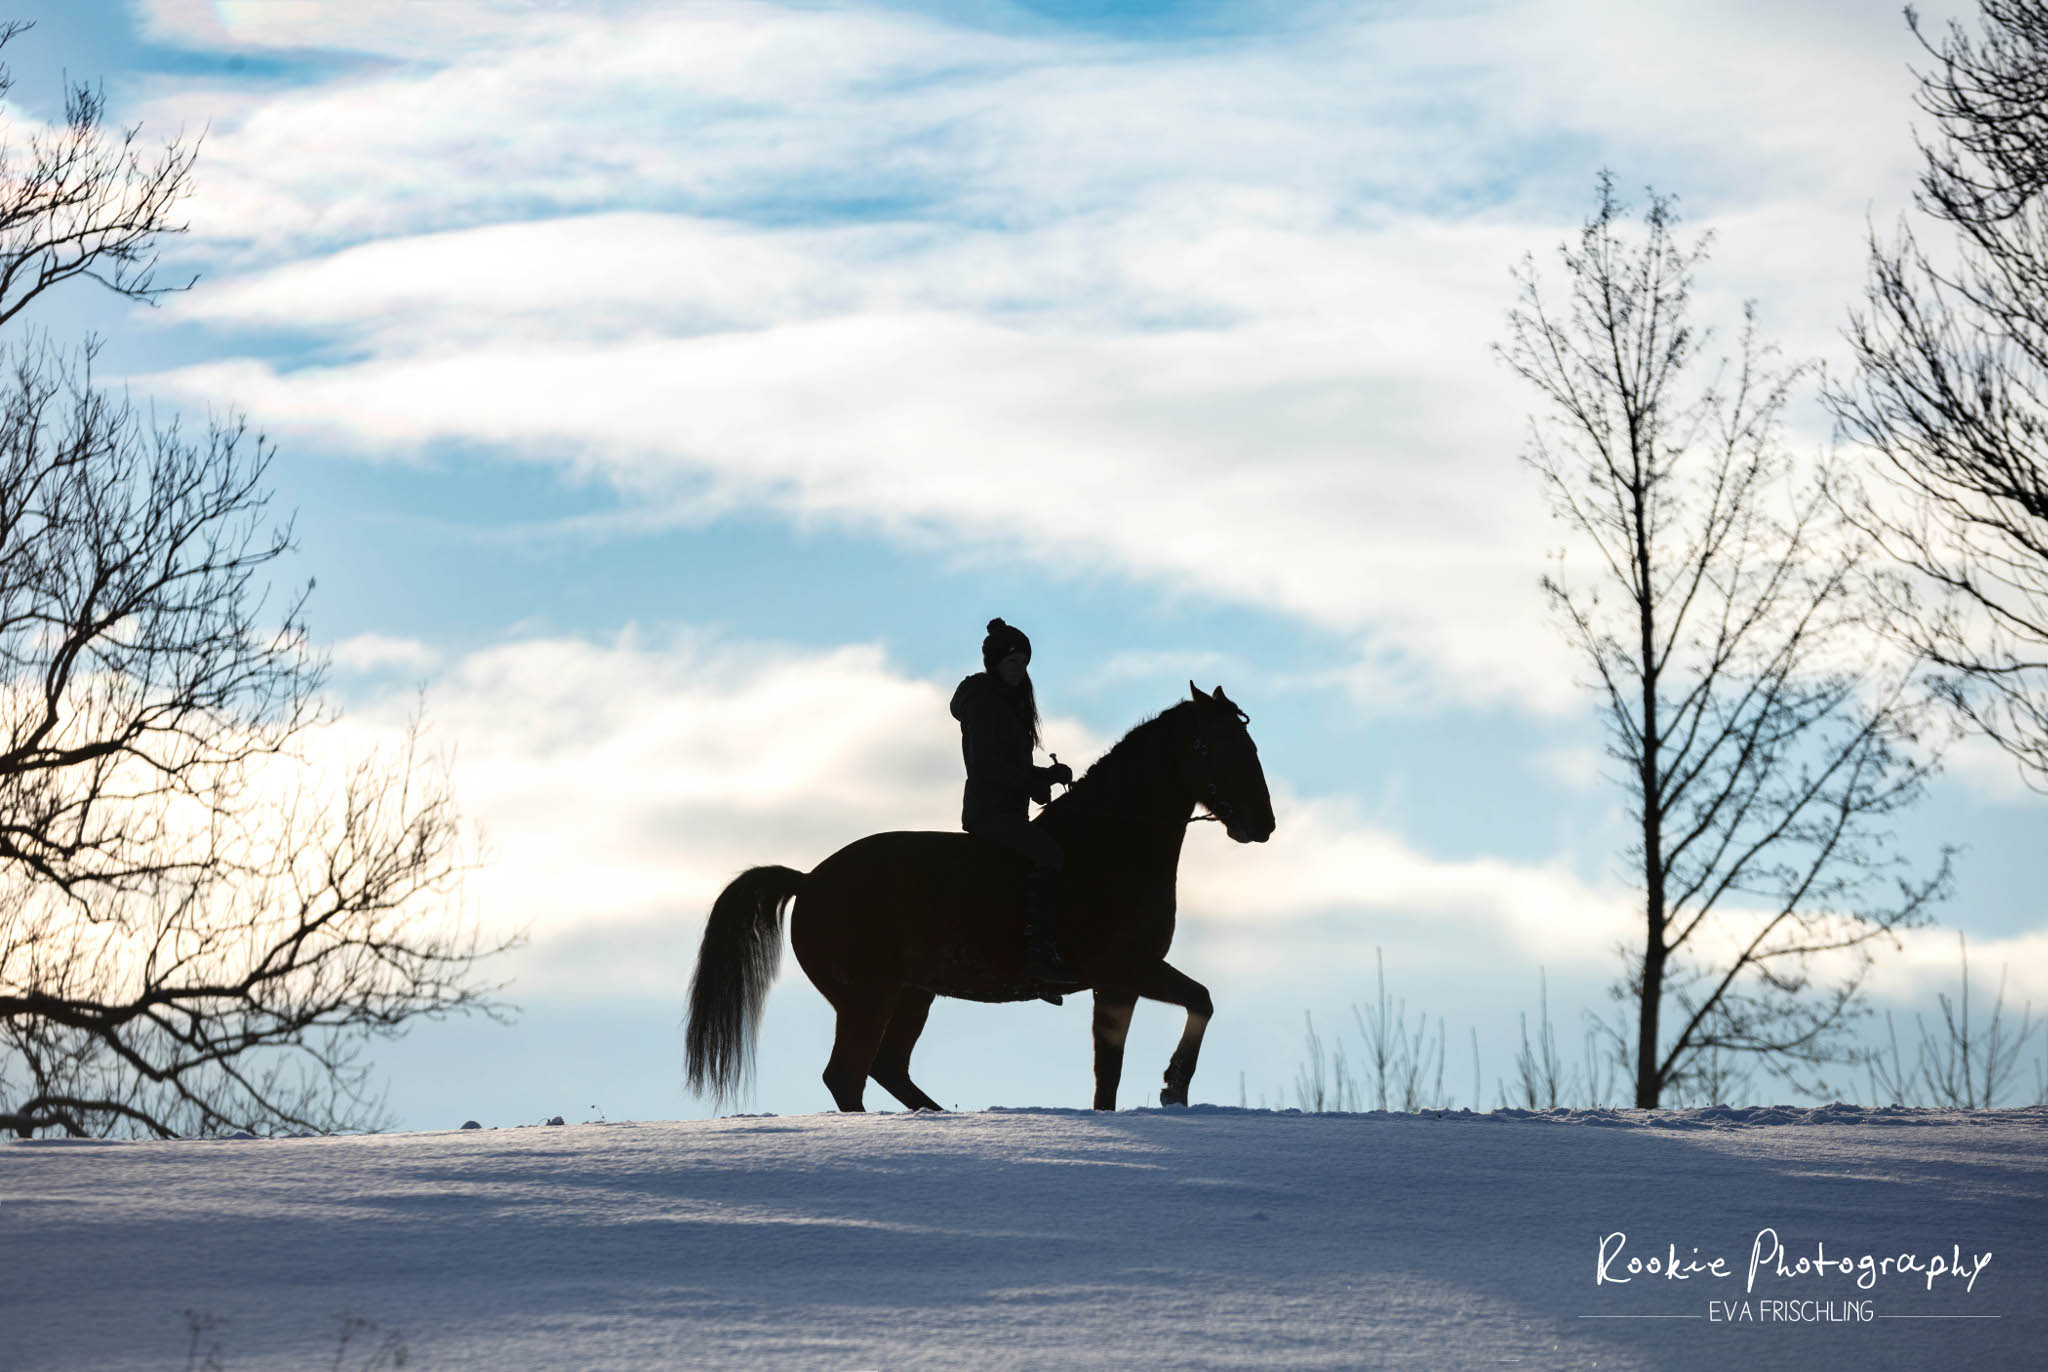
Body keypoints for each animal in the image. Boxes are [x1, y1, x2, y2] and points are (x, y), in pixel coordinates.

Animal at [679, 683, 1269, 1113]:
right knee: (847, 1075)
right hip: (867, 998)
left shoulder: (1122, 980)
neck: (1108, 843)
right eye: (1220, 747)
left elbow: (1118, 1066)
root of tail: (809, 880)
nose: (1263, 825)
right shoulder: (1125, 969)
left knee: (885, 1068)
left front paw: (1165, 1091)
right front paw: (1174, 1087)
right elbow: (1192, 1007)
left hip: (912, 995)